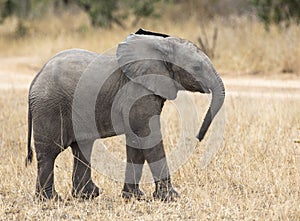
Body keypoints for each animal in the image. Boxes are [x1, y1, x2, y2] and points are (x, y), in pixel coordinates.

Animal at [25, 28, 224, 200]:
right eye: (197, 68)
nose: (198, 137)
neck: (161, 47)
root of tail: (37, 76)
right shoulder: (137, 92)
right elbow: (149, 137)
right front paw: (171, 197)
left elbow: (136, 141)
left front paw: (134, 197)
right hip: (49, 106)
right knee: (50, 152)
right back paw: (51, 199)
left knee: (82, 148)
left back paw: (88, 195)